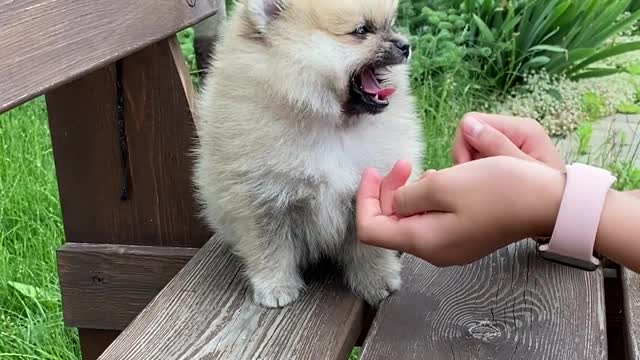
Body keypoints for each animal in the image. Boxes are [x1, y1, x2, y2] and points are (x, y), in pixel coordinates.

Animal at [194, 0, 424, 308]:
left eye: (390, 25)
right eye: (361, 31)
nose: (405, 45)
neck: (331, 125)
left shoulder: (367, 193)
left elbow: (369, 246)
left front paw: (377, 280)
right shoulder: (263, 198)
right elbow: (271, 248)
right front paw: (275, 287)